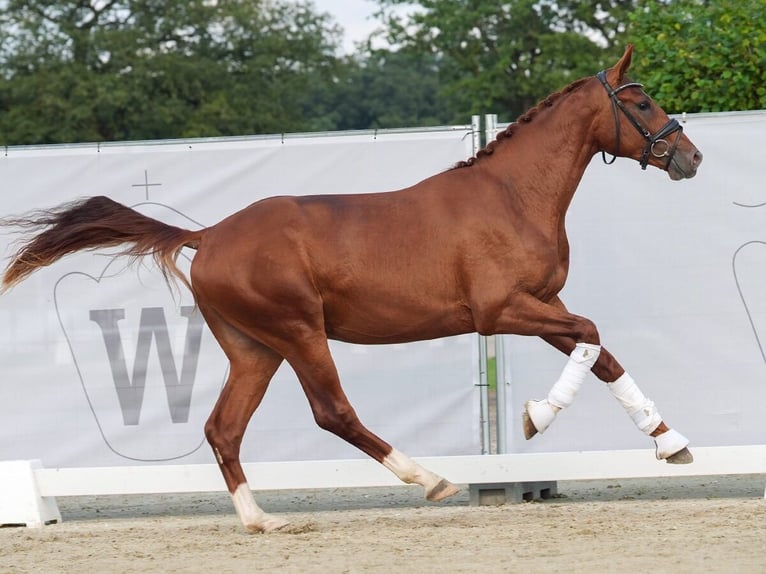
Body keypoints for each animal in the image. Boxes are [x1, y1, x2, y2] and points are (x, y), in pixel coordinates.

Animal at [3, 46, 704, 536]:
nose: (690, 158)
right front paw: (537, 417)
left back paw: (261, 521)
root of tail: (209, 236)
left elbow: (602, 354)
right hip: (299, 333)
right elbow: (590, 337)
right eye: (641, 103)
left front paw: (671, 444)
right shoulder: (501, 311)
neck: (512, 196)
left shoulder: (544, 304)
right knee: (331, 412)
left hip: (255, 350)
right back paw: (431, 480)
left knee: (223, 428)